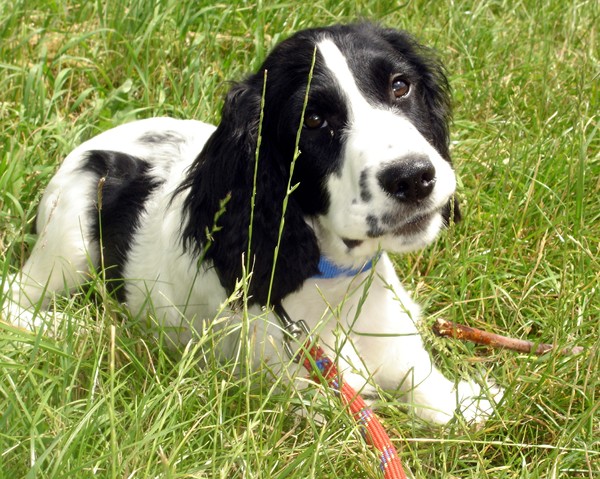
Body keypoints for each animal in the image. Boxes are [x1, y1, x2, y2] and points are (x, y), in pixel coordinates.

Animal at [3, 24, 502, 426]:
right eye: (313, 119)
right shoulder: (300, 387)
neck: (335, 285)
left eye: (401, 86)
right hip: (71, 236)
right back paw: (70, 329)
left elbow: (425, 385)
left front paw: (461, 402)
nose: (413, 177)